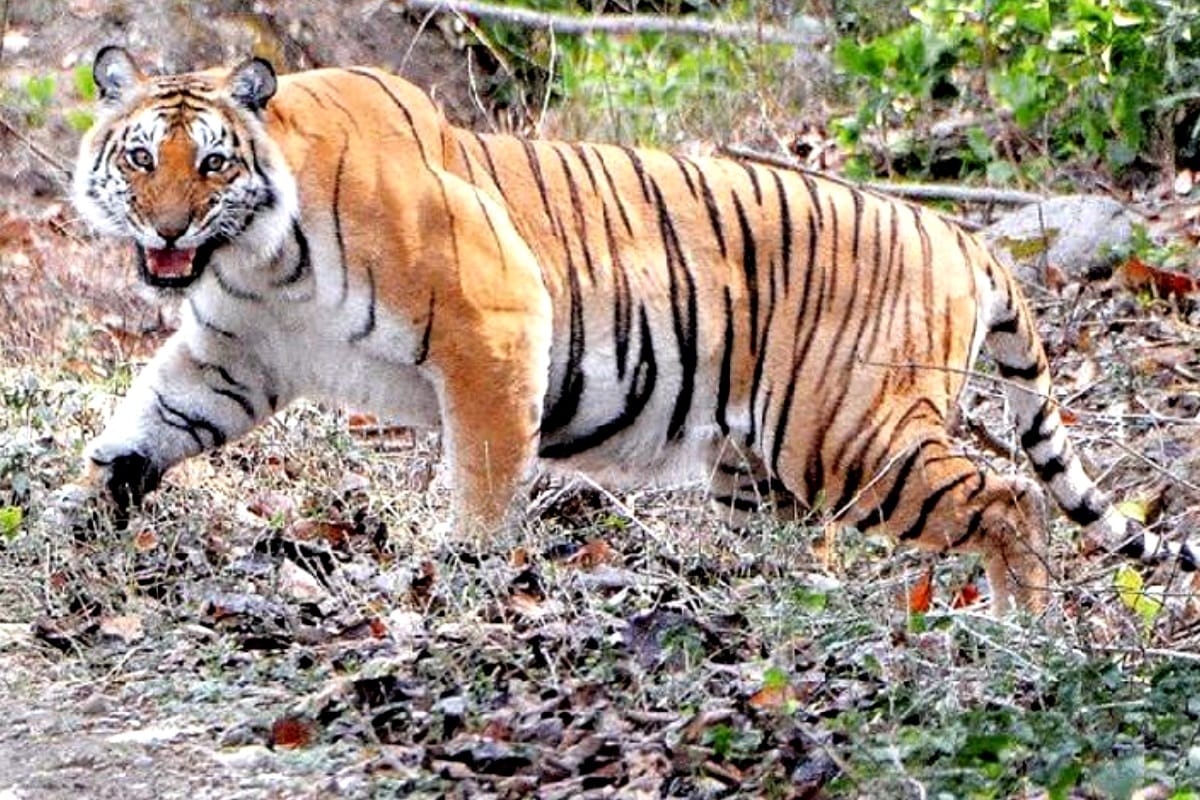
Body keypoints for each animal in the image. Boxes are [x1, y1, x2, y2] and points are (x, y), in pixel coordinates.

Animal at [64, 45, 1196, 614]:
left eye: (213, 163)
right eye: (140, 157)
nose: (167, 229)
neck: (255, 256)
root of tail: (962, 235)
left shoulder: (495, 323)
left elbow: (481, 475)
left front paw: (453, 571)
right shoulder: (233, 356)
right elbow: (143, 430)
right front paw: (73, 521)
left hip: (846, 434)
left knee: (1010, 496)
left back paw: (1023, 632)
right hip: (767, 467)